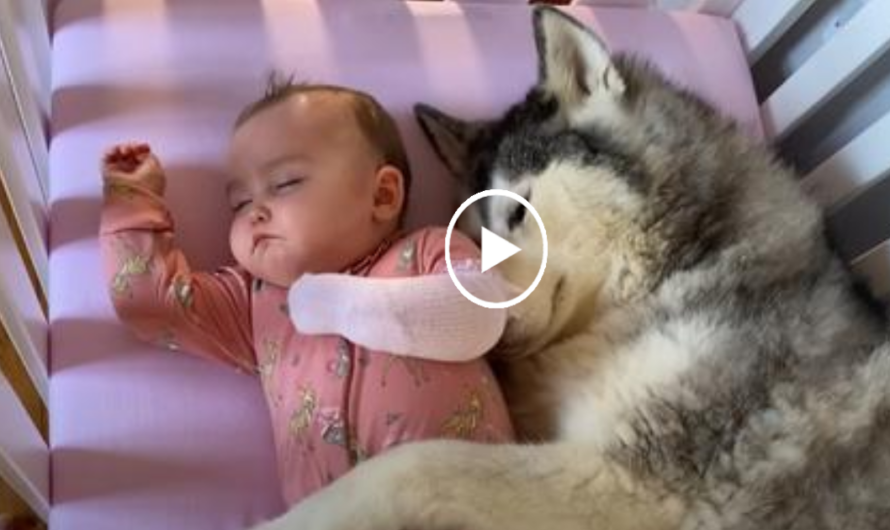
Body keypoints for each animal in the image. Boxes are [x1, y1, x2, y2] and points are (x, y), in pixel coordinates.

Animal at [251, 5, 888, 528]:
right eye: (470, 237)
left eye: (516, 211)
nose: (482, 335)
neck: (679, 267)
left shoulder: (639, 484)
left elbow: (408, 467)